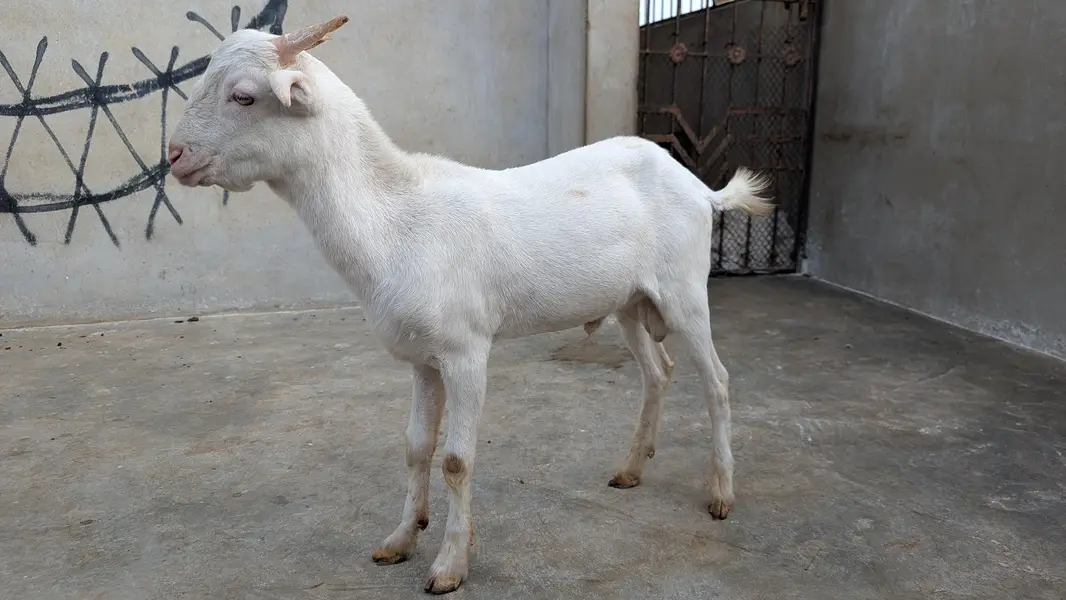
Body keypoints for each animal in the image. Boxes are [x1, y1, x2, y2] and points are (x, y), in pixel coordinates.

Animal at [168, 16, 773, 595]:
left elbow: (456, 460)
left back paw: (721, 492)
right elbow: (416, 447)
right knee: (658, 372)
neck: (396, 217)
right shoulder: (421, 357)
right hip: (630, 301)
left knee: (716, 381)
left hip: (685, 291)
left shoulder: (466, 352)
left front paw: (450, 565)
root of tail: (700, 187)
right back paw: (630, 467)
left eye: (244, 96)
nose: (174, 156)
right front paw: (400, 537)